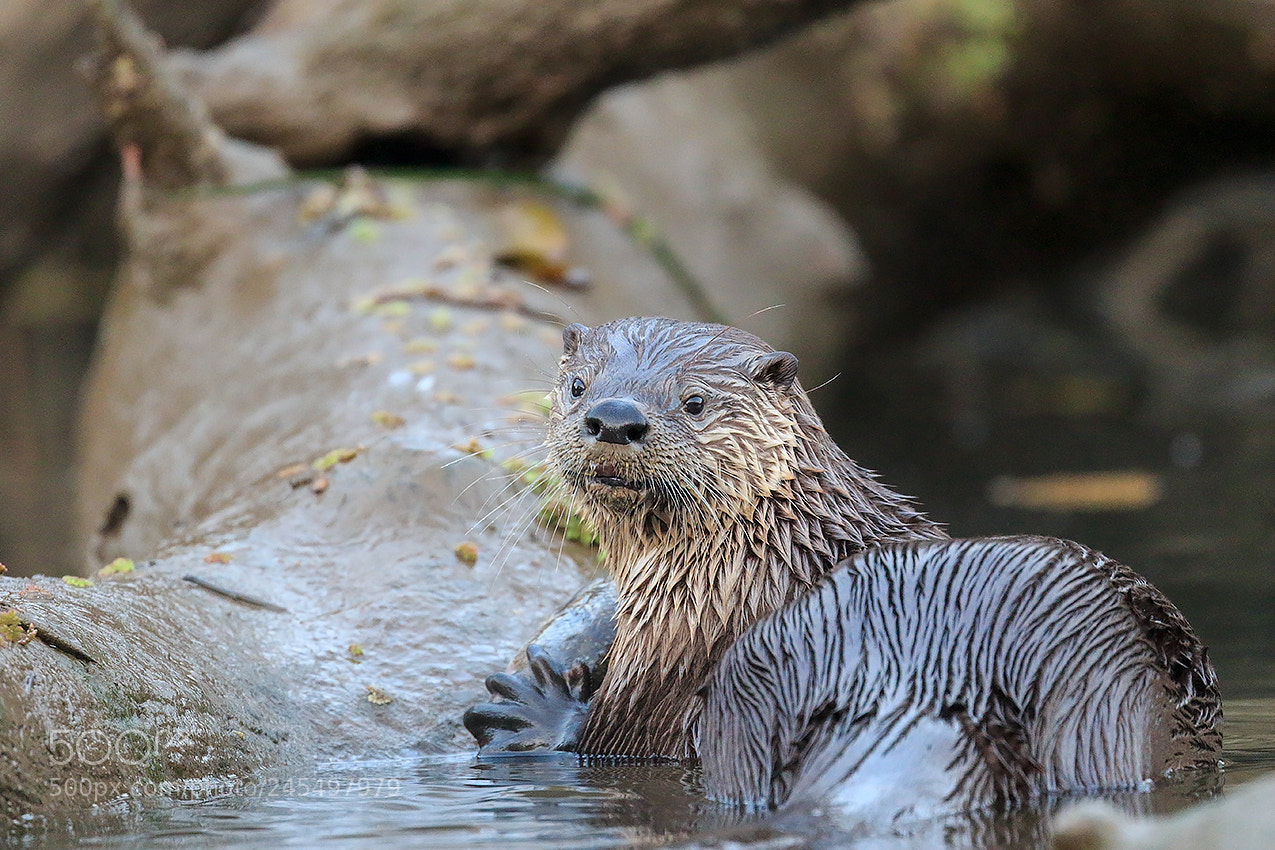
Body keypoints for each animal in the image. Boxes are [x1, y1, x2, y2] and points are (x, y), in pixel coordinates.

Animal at [463, 317, 1220, 817]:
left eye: (694, 401)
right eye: (577, 385)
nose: (614, 418)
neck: (762, 560)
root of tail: (931, 675)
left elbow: (609, 739)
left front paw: (538, 706)